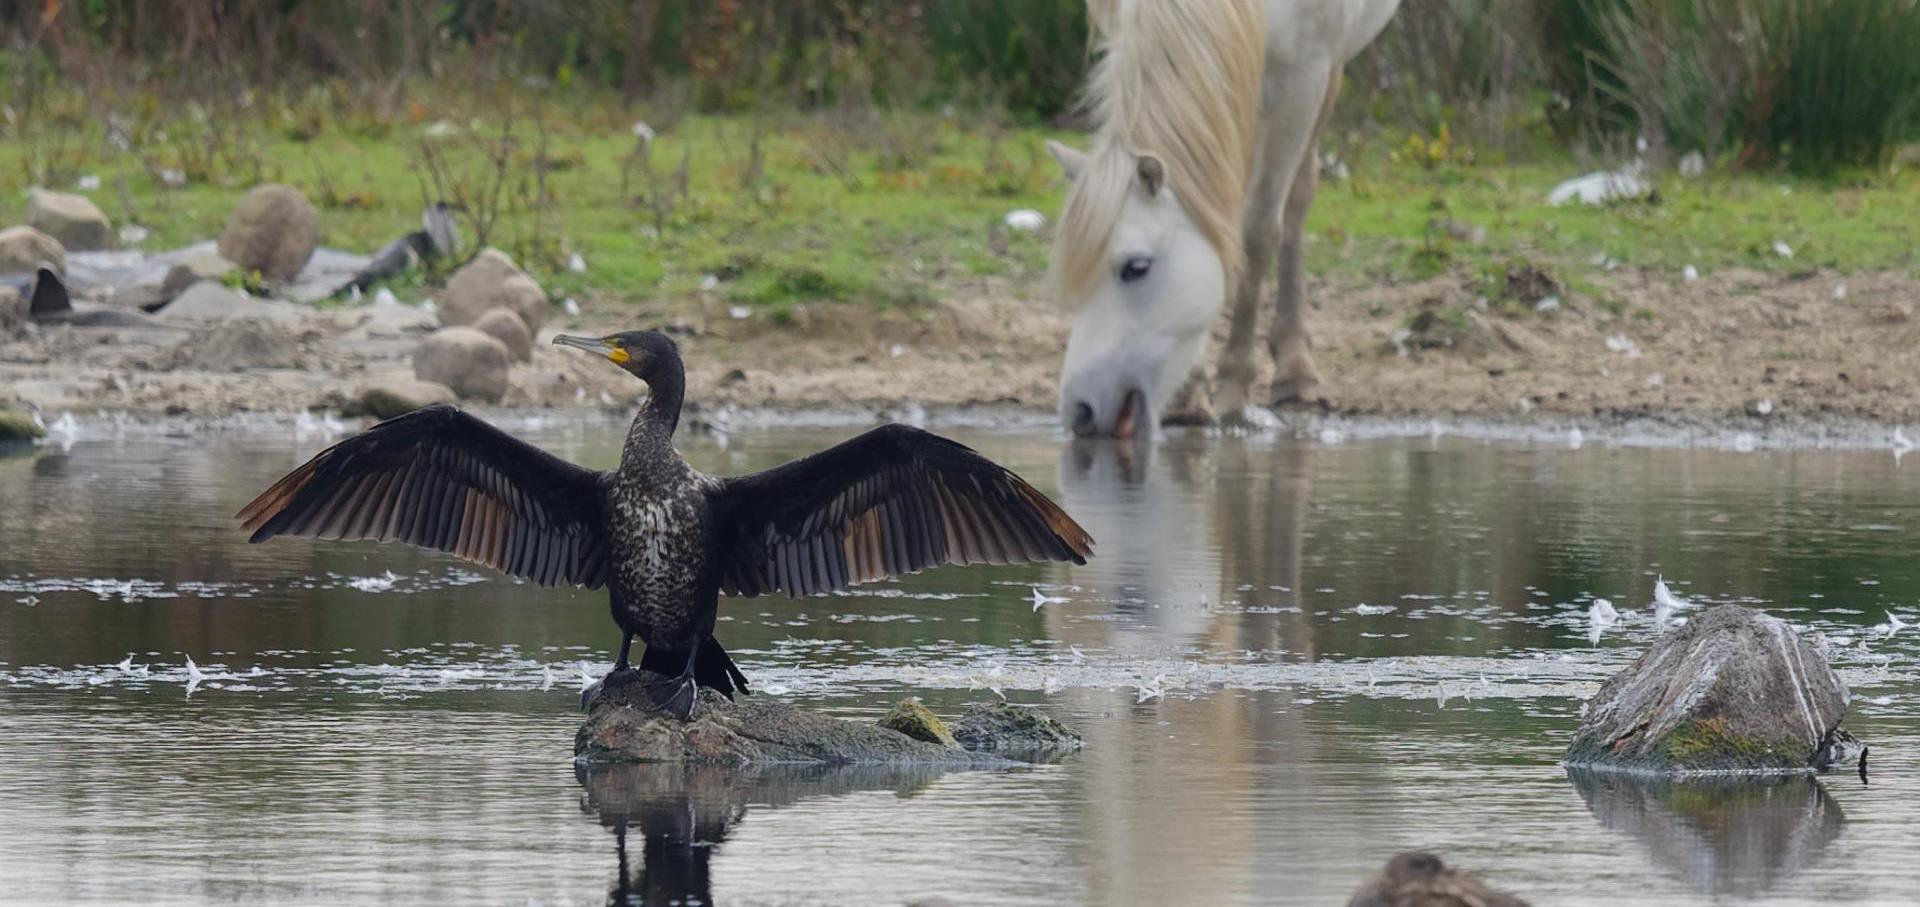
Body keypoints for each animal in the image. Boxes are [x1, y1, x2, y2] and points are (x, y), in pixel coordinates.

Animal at [1052, 0, 1397, 440]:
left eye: (1136, 268)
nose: (1080, 410)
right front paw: (1188, 396)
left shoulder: (1305, 75)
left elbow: (1259, 230)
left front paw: (1233, 386)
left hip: (1327, 70)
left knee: (1299, 194)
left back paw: (1295, 372)